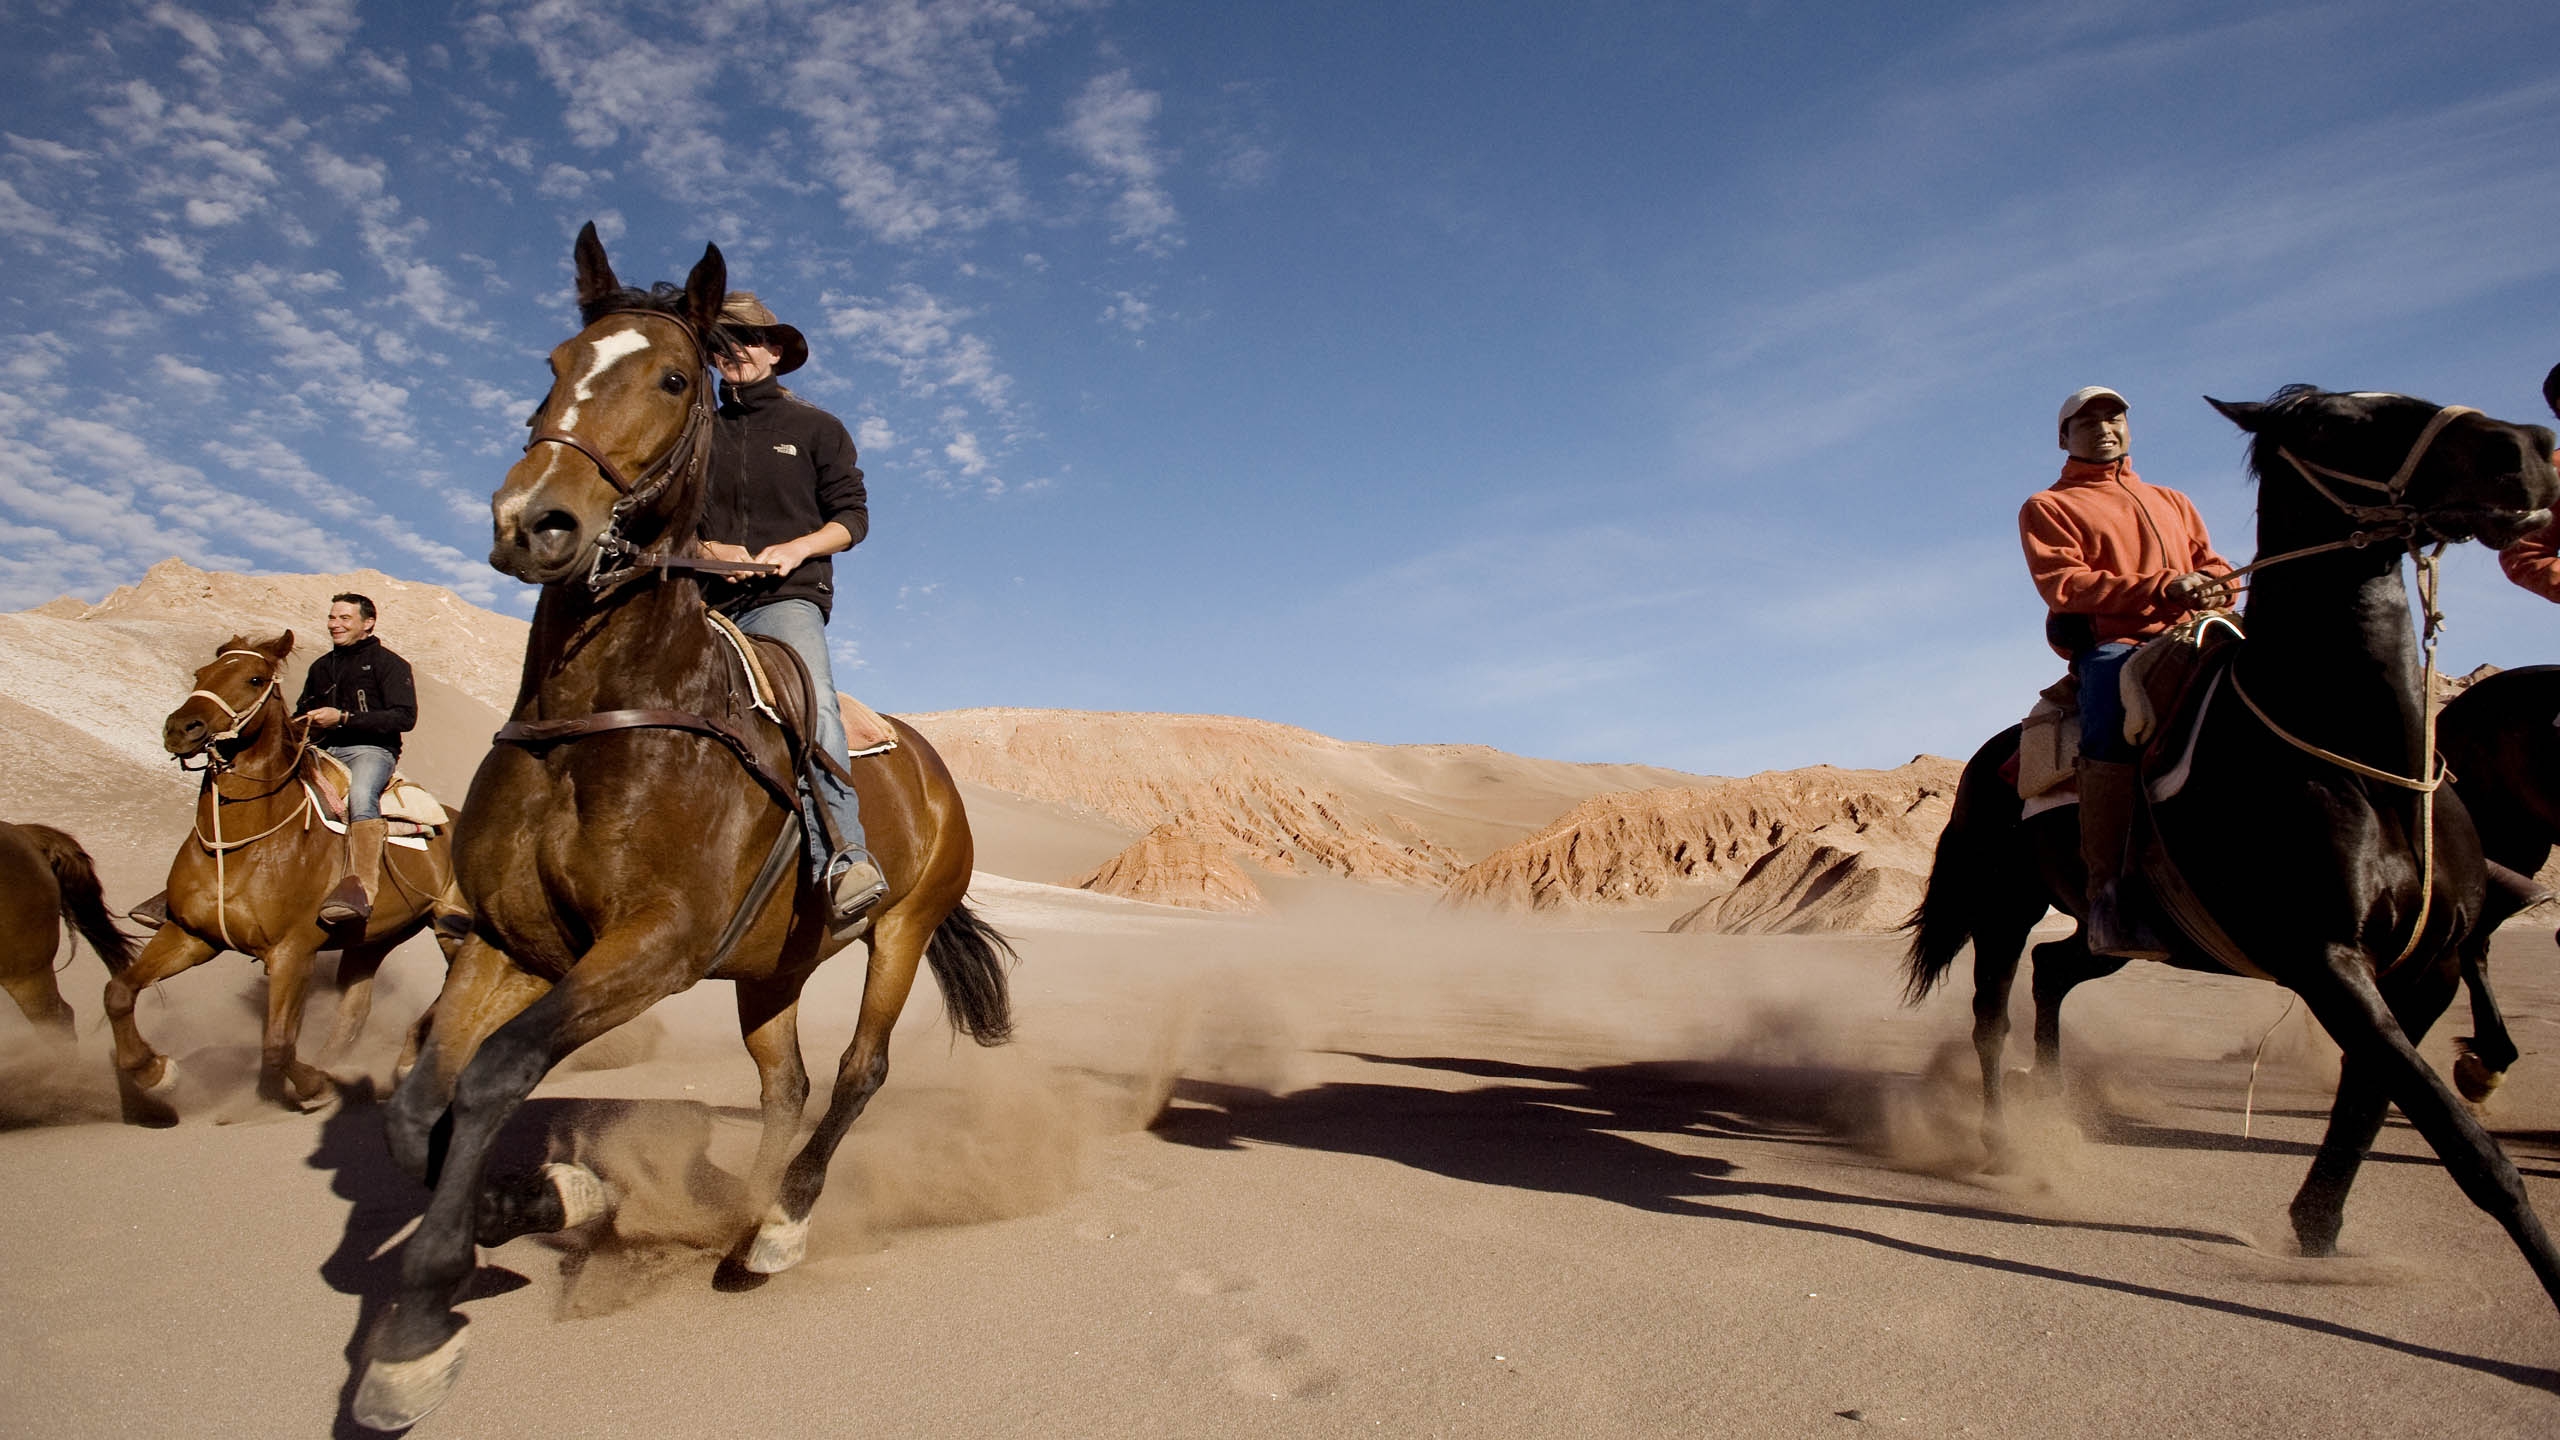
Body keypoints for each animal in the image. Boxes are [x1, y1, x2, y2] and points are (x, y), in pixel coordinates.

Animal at [102, 632, 467, 1125]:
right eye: (201, 673)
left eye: (255, 678)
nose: (182, 728)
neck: (245, 843)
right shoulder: (191, 936)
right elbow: (119, 992)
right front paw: (154, 1072)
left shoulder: (293, 951)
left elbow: (277, 1044)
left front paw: (314, 1089)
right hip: (372, 939)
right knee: (355, 1009)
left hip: (452, 925)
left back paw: (405, 1062)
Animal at [353, 224, 1014, 1430]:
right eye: (554, 361)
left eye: (671, 378)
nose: (535, 522)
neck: (603, 714)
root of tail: (938, 776)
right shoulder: (511, 943)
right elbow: (420, 1102)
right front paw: (543, 1202)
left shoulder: (651, 947)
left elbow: (495, 1073)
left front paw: (423, 1324)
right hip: (770, 967)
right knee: (784, 1086)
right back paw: (738, 1217)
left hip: (898, 930)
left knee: (857, 1074)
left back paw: (782, 1229)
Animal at [1904, 386, 2560, 1311]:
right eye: (2334, 424)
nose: (2528, 450)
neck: (2362, 762)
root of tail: (1985, 761)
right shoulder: (2322, 956)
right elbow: (2462, 1142)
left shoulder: (2424, 967)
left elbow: (2373, 1100)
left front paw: (2316, 1226)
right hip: (2005, 903)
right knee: (1990, 1014)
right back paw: (2005, 1141)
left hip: (2128, 934)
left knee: (2054, 971)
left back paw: (2057, 1106)